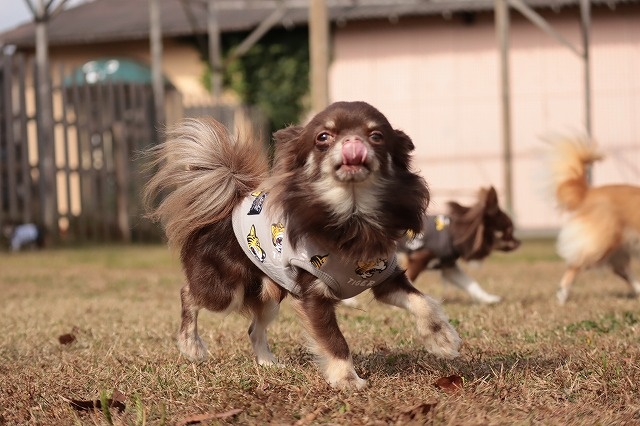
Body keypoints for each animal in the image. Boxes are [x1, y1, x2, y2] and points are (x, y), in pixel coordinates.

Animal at [143, 101, 461, 389]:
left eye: (377, 136)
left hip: (269, 295)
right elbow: (334, 341)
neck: (353, 215)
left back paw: (268, 363)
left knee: (253, 329)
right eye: (323, 137)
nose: (353, 143)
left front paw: (442, 337)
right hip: (227, 290)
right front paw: (347, 379)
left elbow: (423, 301)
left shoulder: (385, 277)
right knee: (189, 294)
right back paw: (191, 344)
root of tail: (227, 206)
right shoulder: (314, 294)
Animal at [548, 136, 640, 304]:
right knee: (576, 264)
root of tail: (589, 192)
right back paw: (562, 295)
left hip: (618, 245)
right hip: (602, 243)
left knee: (621, 270)